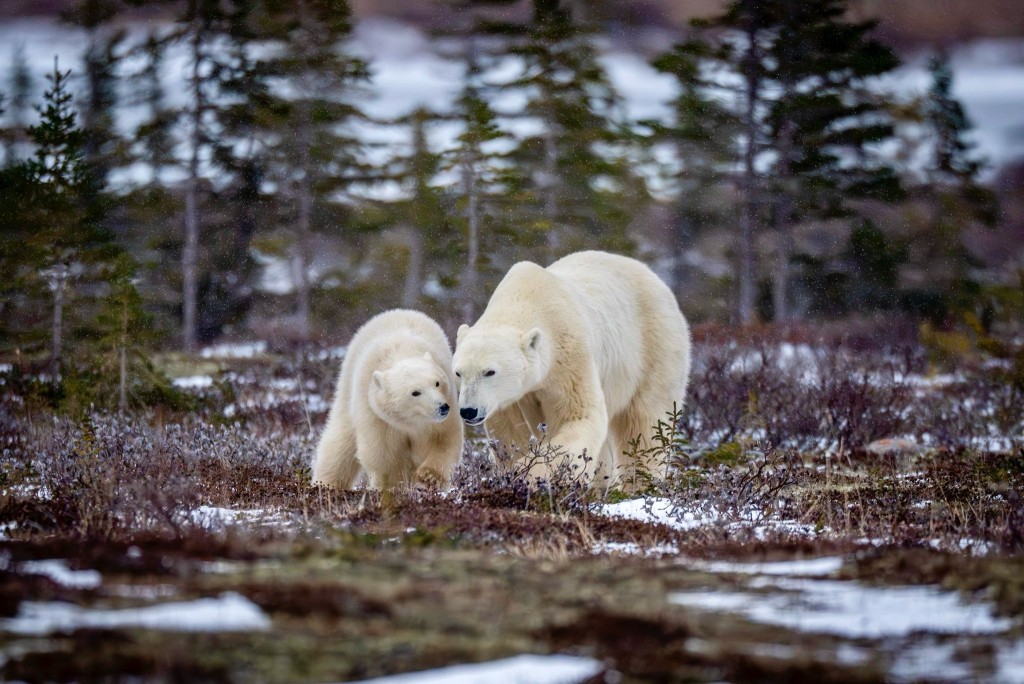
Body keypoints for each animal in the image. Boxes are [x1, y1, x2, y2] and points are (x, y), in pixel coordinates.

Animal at [311, 309, 464, 491]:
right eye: (415, 392)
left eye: (437, 383)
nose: (442, 407)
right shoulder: (375, 413)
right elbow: (382, 451)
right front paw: (394, 486)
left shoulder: (444, 409)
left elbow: (443, 439)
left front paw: (427, 478)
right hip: (347, 389)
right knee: (339, 445)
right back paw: (326, 485)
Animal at [454, 250, 688, 485]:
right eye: (459, 373)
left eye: (489, 371)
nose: (468, 410)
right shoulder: (510, 397)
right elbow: (508, 429)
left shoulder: (570, 355)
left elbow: (579, 416)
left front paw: (534, 475)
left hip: (654, 349)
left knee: (644, 423)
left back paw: (642, 483)